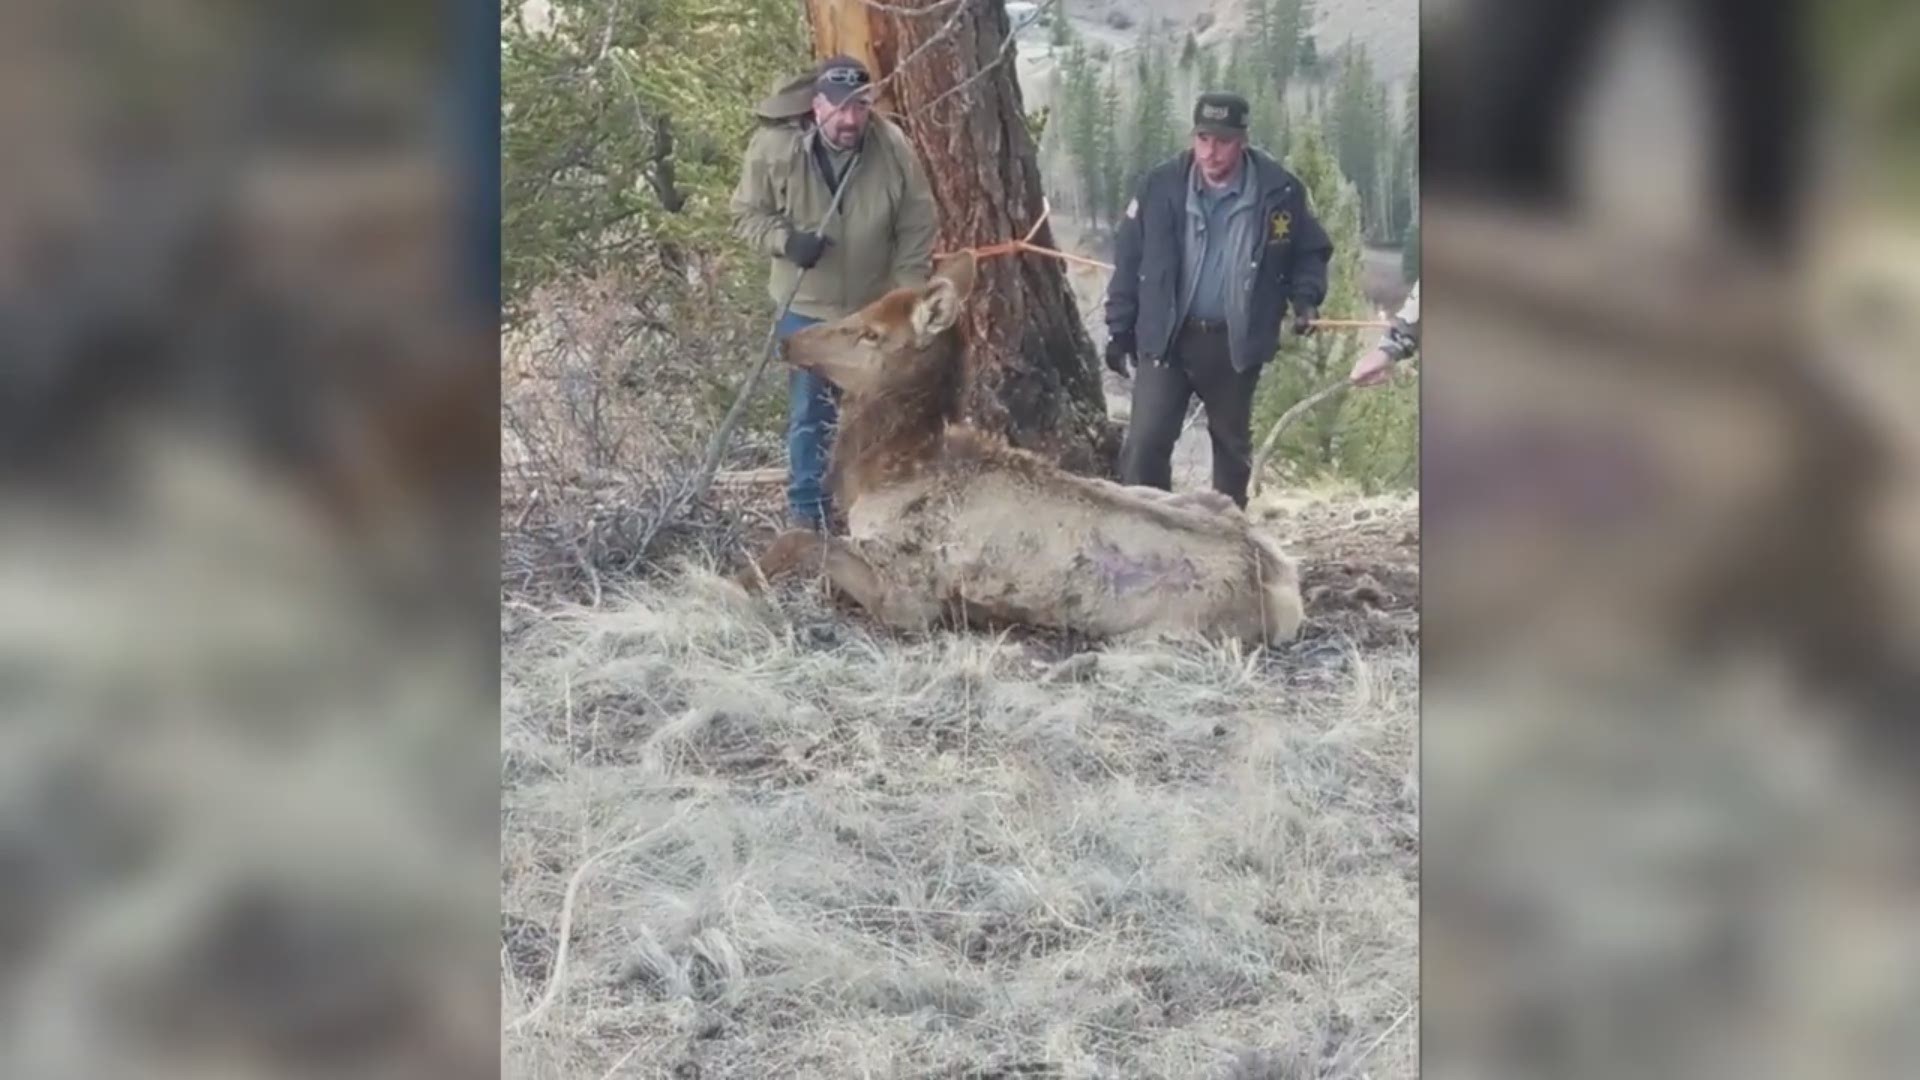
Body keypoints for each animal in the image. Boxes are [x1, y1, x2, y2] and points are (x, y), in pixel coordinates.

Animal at [733, 247, 1305, 641]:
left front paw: (741, 579)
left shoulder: (911, 593)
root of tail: (1285, 590)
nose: (789, 341)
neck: (889, 465)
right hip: (1203, 497)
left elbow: (801, 541)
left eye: (871, 333)